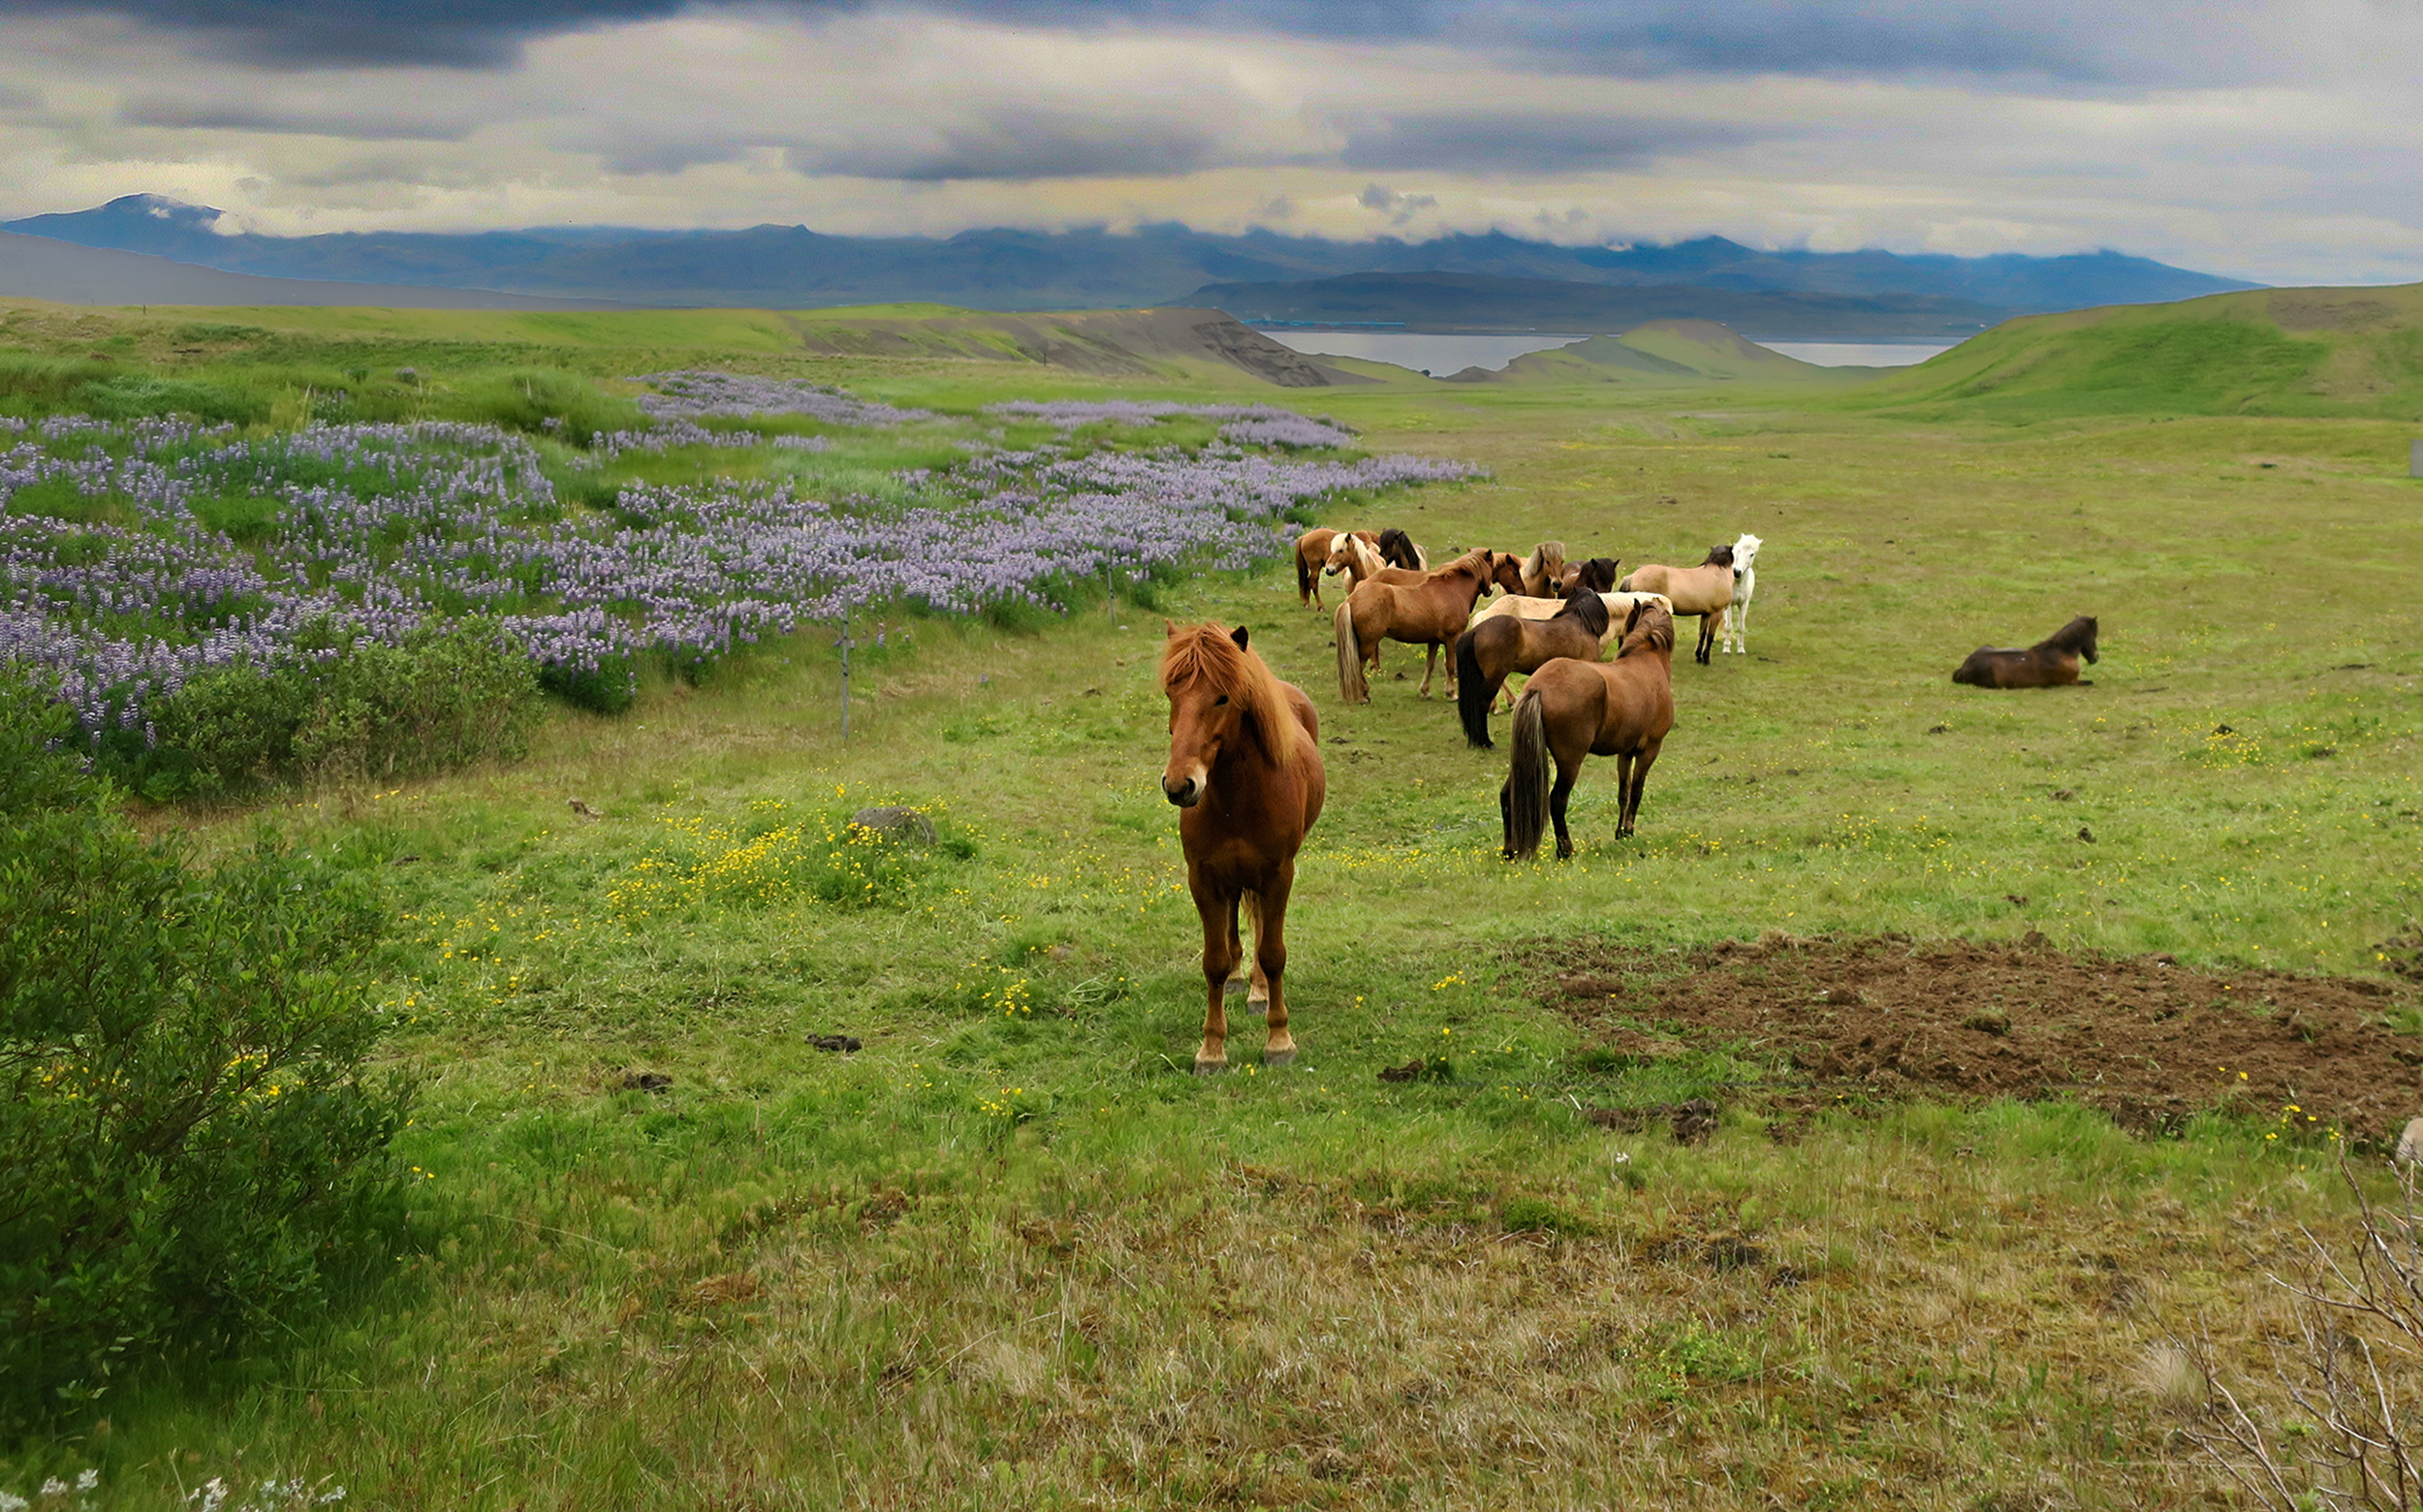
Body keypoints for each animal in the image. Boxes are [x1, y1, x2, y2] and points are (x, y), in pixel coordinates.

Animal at [1161, 622, 1326, 1073]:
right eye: (1170, 693)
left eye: (1222, 697)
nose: (1180, 785)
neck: (1237, 797)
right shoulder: (1203, 878)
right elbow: (1214, 960)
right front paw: (1211, 1048)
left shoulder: (1278, 874)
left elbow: (1272, 953)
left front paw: (1279, 1040)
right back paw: (1240, 980)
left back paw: (1258, 991)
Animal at [1333, 548, 1499, 703]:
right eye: (1491, 567)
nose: (1490, 590)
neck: (1452, 589)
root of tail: (1351, 600)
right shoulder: (1452, 639)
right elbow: (1450, 666)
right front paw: (1451, 693)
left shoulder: (1434, 641)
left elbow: (1429, 665)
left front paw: (1425, 692)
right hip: (1368, 643)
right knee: (1357, 667)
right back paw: (1363, 695)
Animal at [1501, 601, 1676, 860]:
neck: (1647, 661)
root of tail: (1538, 687)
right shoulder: (1649, 750)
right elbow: (1636, 791)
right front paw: (1629, 830)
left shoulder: (1625, 752)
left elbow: (1623, 792)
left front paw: (1620, 832)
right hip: (1570, 762)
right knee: (1557, 801)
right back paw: (1566, 850)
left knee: (1508, 795)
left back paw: (1510, 851)